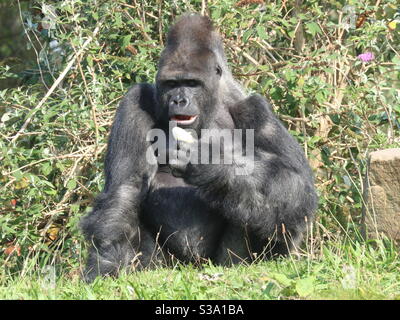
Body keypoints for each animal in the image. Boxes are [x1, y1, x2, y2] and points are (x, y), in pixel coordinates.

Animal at [80, 13, 318, 282]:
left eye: (192, 83)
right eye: (172, 84)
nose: (179, 100)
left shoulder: (255, 109)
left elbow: (296, 186)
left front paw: (210, 163)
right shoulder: (134, 102)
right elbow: (125, 189)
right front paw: (107, 262)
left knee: (255, 204)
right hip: (166, 266)